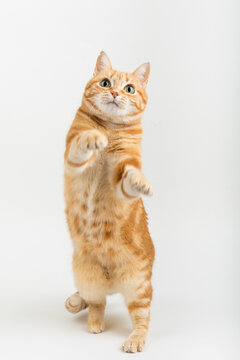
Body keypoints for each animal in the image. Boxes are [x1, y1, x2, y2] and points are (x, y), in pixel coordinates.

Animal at [64, 52, 154, 352]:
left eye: (129, 88)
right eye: (105, 83)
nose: (115, 93)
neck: (111, 128)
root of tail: (112, 282)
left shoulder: (124, 174)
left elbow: (131, 177)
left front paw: (141, 183)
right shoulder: (73, 157)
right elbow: (82, 141)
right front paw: (94, 138)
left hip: (138, 287)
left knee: (142, 320)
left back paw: (134, 340)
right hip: (86, 277)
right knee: (95, 303)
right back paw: (87, 317)